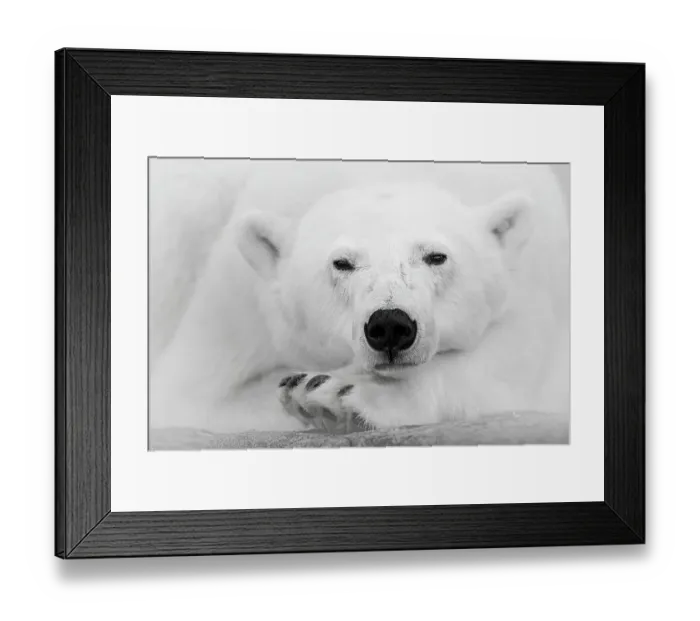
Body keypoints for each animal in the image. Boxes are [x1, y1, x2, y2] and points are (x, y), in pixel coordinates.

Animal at [149, 161, 569, 435]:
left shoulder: (531, 284)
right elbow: (192, 401)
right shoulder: (236, 309)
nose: (390, 326)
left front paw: (334, 395)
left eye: (436, 256)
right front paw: (313, 392)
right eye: (342, 262)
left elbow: (499, 371)